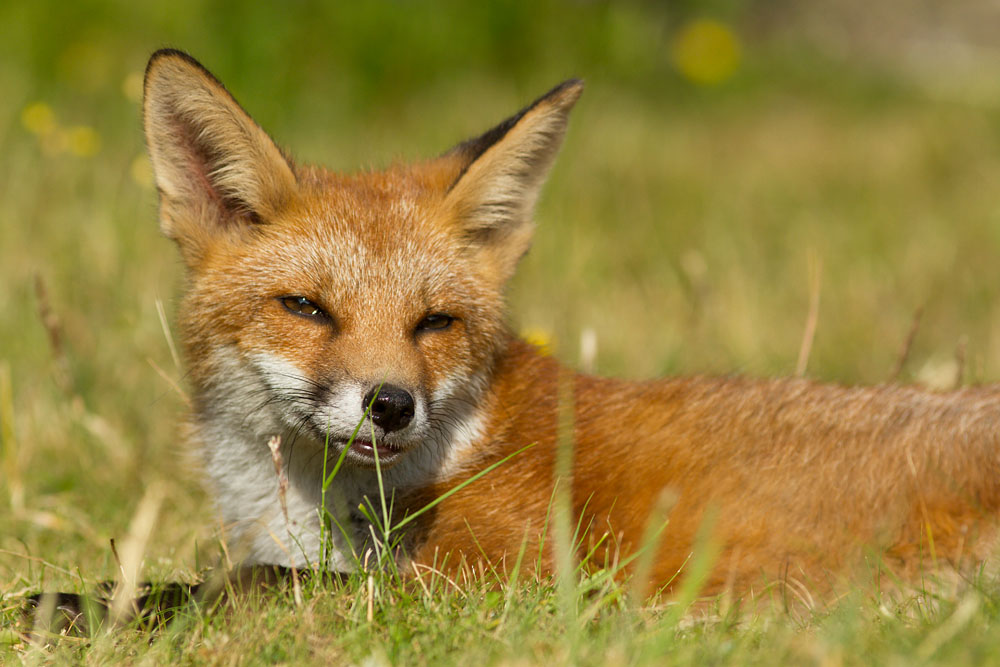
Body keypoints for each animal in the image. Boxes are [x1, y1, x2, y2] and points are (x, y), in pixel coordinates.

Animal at [32, 48, 1000, 627]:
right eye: (306, 308)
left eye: (435, 322)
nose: (390, 404)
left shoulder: (499, 587)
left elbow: (259, 584)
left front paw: (86, 606)